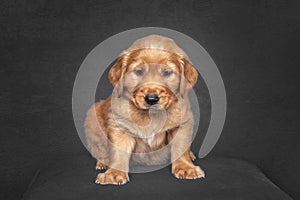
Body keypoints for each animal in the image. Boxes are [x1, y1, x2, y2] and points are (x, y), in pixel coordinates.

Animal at [85, 34, 205, 184]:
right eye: (139, 71)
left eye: (167, 72)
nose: (151, 99)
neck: (150, 115)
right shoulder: (119, 125)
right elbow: (118, 152)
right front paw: (114, 172)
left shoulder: (182, 123)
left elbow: (180, 147)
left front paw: (186, 167)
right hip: (92, 117)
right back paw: (103, 162)